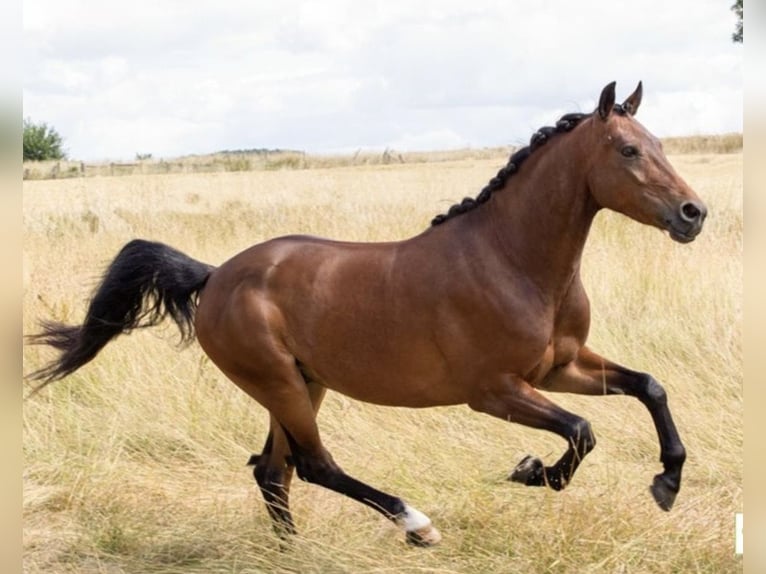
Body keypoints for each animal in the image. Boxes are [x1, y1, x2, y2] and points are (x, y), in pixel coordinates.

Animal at [27, 82, 712, 548]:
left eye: (658, 144)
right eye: (628, 150)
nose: (693, 213)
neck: (512, 259)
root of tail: (215, 275)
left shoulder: (559, 368)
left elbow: (649, 387)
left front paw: (667, 484)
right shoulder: (494, 391)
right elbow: (582, 431)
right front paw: (533, 473)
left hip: (302, 384)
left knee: (272, 471)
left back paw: (294, 554)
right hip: (280, 383)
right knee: (312, 465)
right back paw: (416, 523)